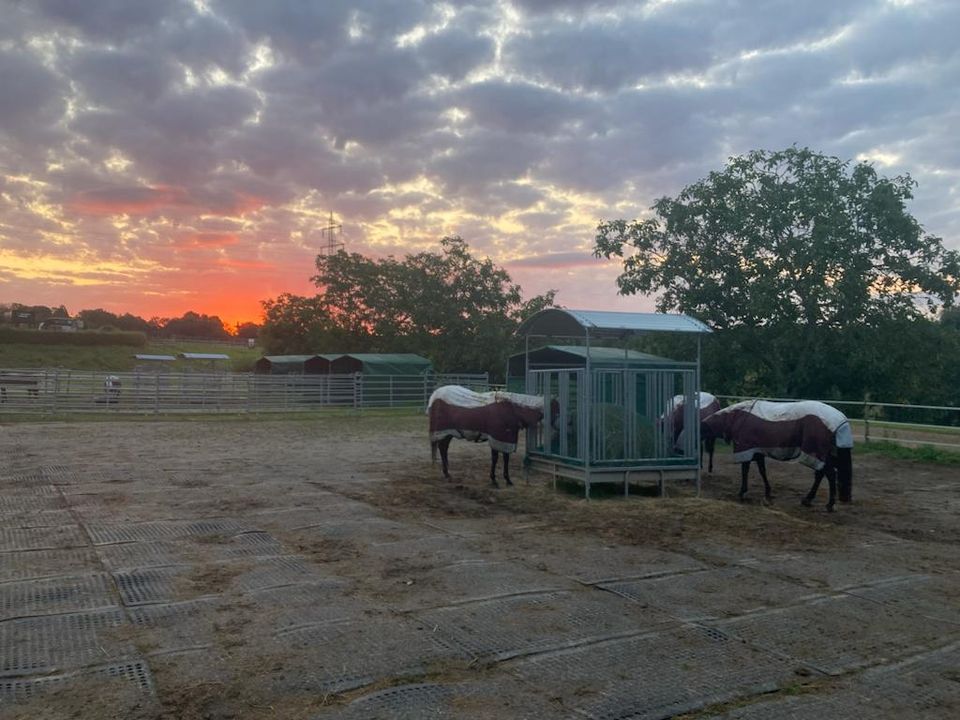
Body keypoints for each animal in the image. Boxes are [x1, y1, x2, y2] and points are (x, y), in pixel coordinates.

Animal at [696, 400, 856, 512]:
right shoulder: (757, 451)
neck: (738, 417)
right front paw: (767, 494)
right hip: (825, 455)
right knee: (821, 474)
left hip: (816, 453)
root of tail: (839, 419)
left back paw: (827, 504)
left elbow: (745, 471)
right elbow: (762, 471)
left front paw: (742, 493)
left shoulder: (746, 449)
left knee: (829, 474)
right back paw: (808, 500)